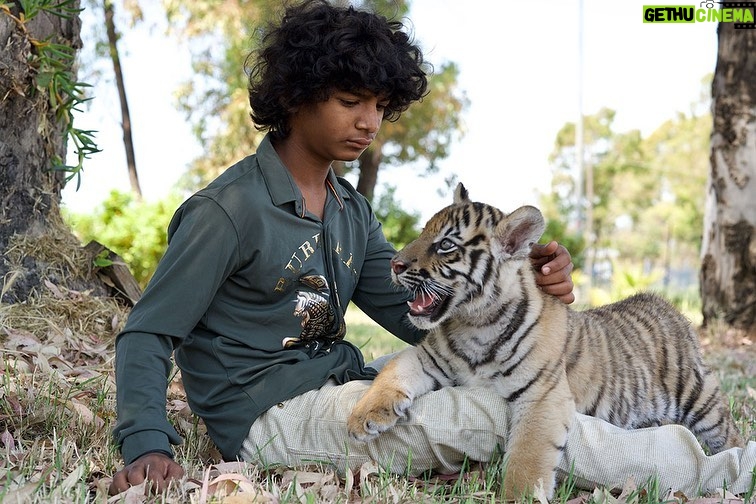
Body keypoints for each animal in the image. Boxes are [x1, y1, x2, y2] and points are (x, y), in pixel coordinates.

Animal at [346, 182, 742, 499]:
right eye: (422, 232)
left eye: (445, 245)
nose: (395, 264)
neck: (475, 322)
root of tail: (662, 302)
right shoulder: (427, 359)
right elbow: (393, 373)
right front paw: (363, 418)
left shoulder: (541, 395)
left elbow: (527, 456)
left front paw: (518, 498)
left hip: (700, 398)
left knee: (729, 437)